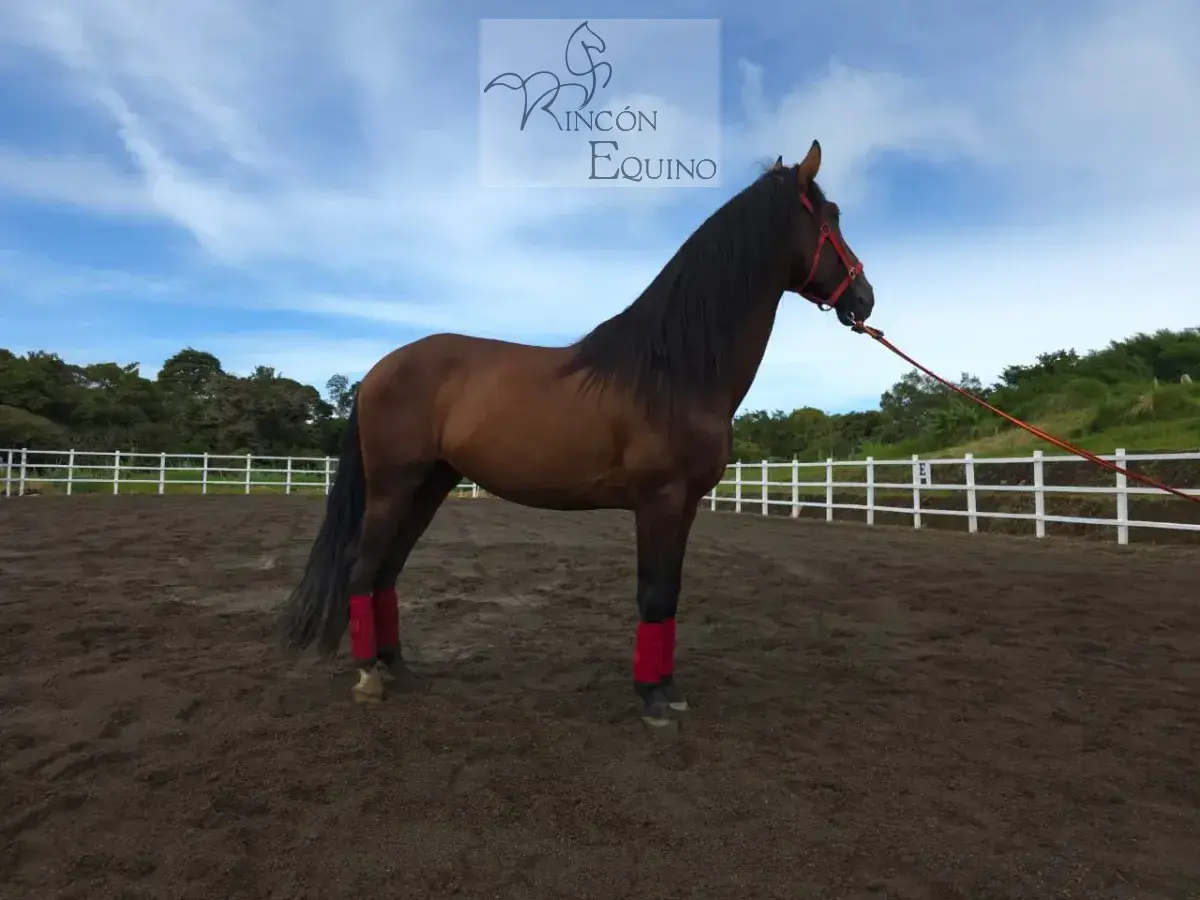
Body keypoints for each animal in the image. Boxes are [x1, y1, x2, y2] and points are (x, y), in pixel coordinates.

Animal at [276, 140, 875, 728]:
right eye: (832, 217)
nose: (865, 298)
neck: (673, 372)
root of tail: (378, 370)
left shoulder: (684, 505)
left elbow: (670, 594)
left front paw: (669, 689)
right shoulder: (659, 500)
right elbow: (653, 593)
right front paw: (653, 700)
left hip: (429, 487)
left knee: (386, 572)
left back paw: (398, 669)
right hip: (393, 487)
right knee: (362, 569)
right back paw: (369, 677)